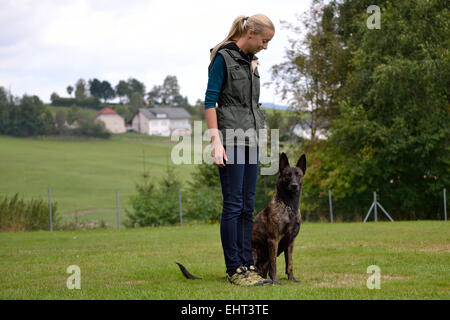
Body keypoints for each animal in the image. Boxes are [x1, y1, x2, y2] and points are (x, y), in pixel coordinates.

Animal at [253, 152, 306, 284]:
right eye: (287, 175)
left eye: (298, 175)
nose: (294, 186)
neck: (289, 206)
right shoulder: (273, 240)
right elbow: (274, 263)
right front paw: (275, 281)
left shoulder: (291, 241)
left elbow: (290, 263)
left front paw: (292, 279)